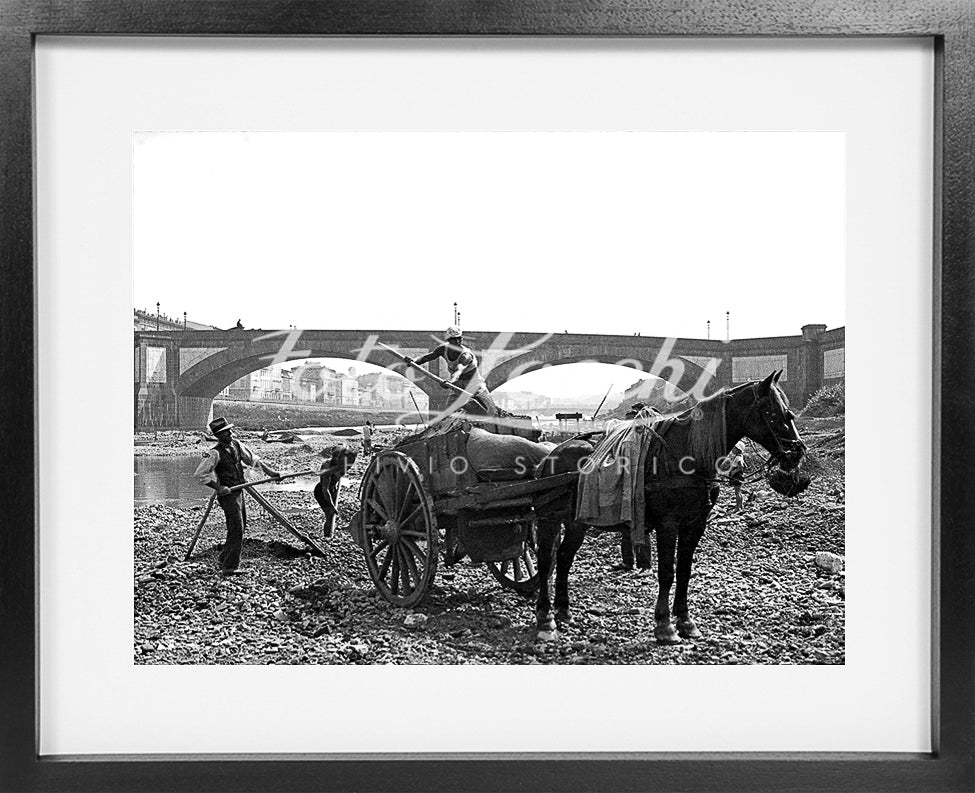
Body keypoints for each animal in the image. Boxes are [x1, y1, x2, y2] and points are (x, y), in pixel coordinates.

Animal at [532, 372, 808, 644]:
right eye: (777, 413)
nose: (797, 452)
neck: (687, 455)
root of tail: (551, 455)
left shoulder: (695, 524)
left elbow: (684, 570)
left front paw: (685, 621)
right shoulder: (668, 524)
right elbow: (667, 571)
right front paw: (664, 625)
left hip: (576, 521)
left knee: (564, 556)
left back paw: (563, 609)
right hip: (549, 519)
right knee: (546, 560)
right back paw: (545, 618)